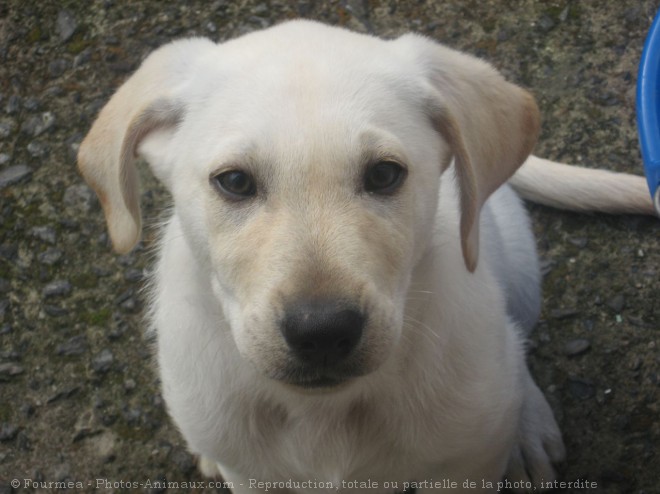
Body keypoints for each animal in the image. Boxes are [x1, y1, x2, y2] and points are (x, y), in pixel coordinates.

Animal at [77, 20, 656, 494]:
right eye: (235, 182)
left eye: (384, 174)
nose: (322, 332)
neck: (326, 411)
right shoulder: (255, 477)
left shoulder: (465, 468)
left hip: (518, 266)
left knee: (517, 343)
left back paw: (525, 426)